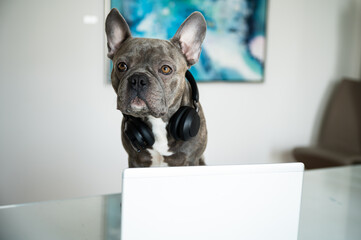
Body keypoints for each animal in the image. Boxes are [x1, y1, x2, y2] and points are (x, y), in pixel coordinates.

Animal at [105, 8, 205, 168]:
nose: (138, 79)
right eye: (121, 66)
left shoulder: (191, 160)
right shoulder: (135, 161)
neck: (157, 121)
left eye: (165, 69)